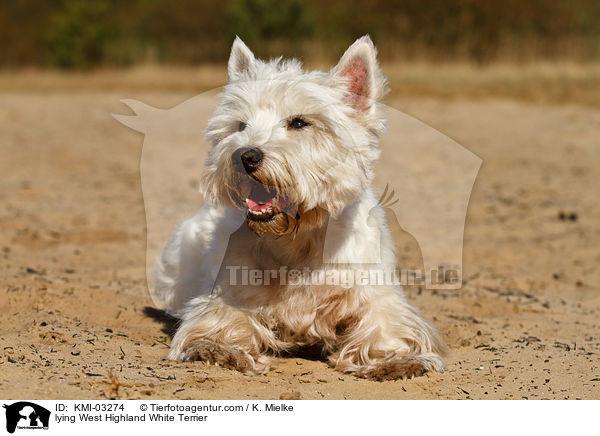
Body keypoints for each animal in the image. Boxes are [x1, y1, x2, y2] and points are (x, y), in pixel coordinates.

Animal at [155, 35, 446, 380]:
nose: (244, 155)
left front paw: (396, 360)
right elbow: (223, 323)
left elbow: (385, 328)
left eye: (299, 122)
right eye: (240, 125)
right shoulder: (231, 293)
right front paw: (218, 349)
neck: (300, 237)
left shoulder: (375, 293)